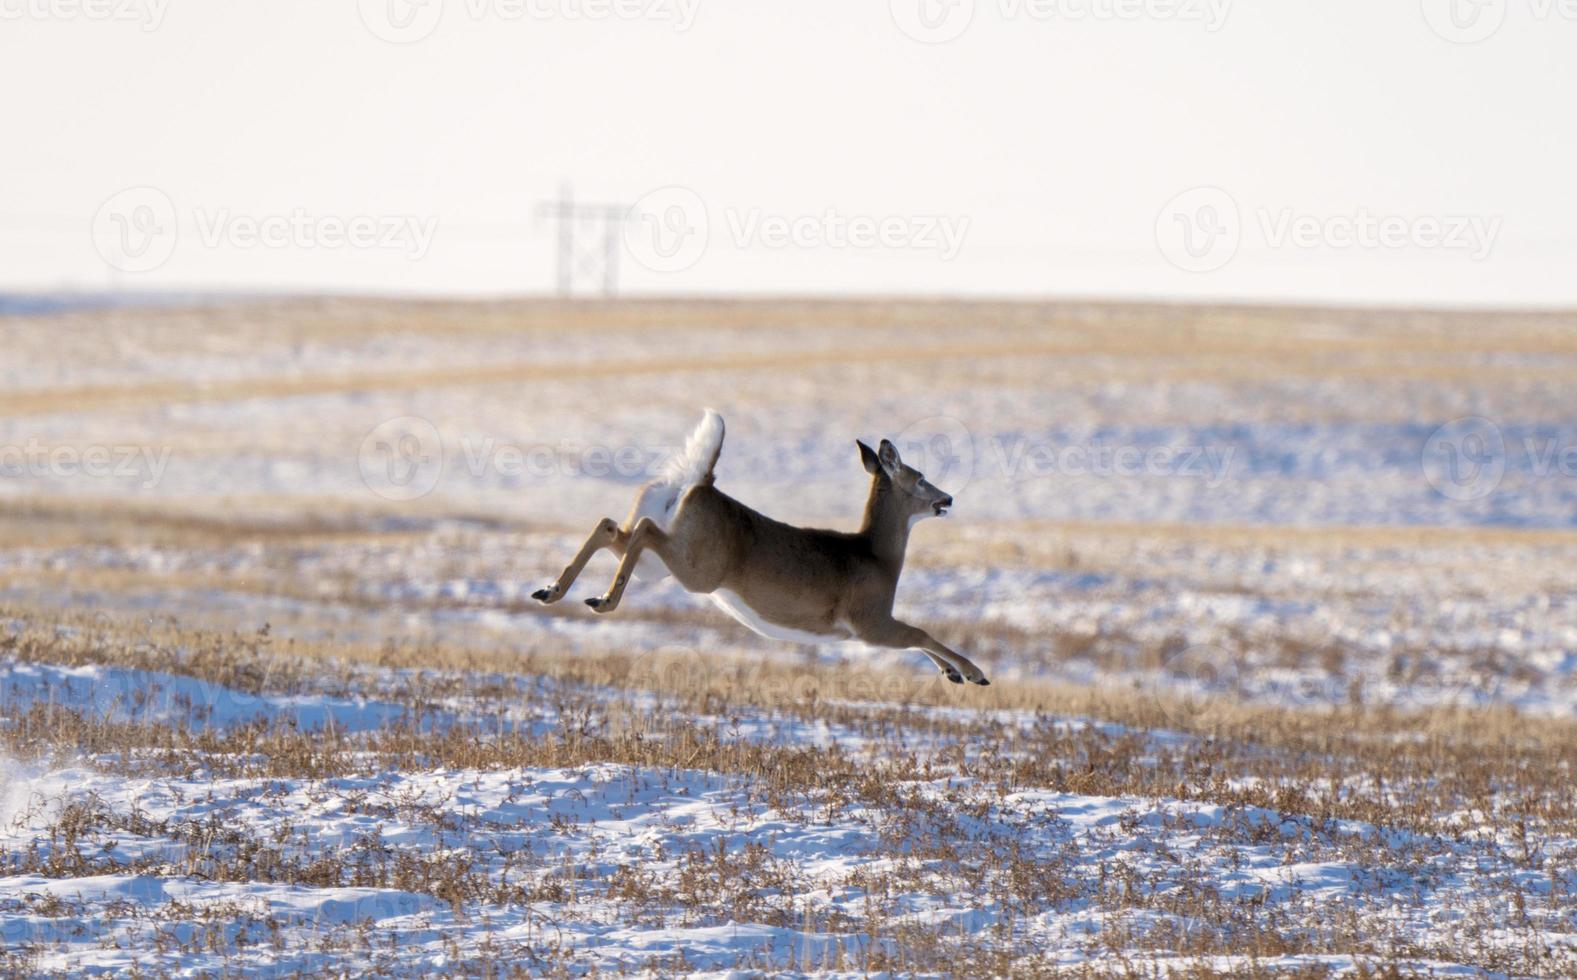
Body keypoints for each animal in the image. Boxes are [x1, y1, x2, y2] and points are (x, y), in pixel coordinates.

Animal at [536, 410, 990, 684]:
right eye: (920, 477)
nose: (947, 499)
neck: (878, 557)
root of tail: (698, 484)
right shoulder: (868, 621)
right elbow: (922, 632)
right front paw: (973, 672)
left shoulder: (872, 625)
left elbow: (919, 637)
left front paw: (953, 674)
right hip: (697, 568)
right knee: (643, 529)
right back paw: (602, 600)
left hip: (659, 562)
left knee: (612, 526)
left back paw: (552, 591)